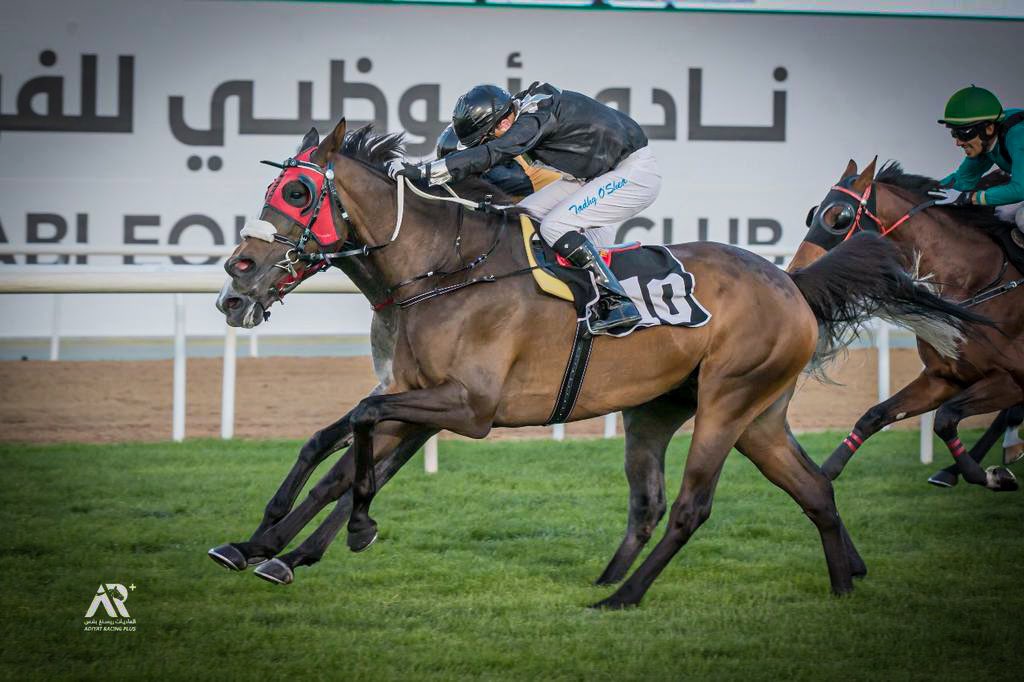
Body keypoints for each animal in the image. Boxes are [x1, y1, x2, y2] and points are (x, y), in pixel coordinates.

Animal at [214, 122, 983, 606]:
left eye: (298, 193)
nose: (235, 281)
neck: (440, 270)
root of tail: (790, 282)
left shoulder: (466, 407)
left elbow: (359, 436)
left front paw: (333, 535)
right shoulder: (417, 397)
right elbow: (339, 451)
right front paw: (264, 545)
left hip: (727, 402)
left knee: (691, 507)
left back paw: (624, 597)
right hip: (729, 414)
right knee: (808, 490)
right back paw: (842, 582)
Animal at [790, 159, 1015, 489]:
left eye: (839, 217)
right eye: (812, 214)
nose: (796, 271)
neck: (979, 281)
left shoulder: (1008, 379)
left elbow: (946, 416)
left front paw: (985, 474)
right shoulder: (943, 377)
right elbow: (876, 415)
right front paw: (826, 471)